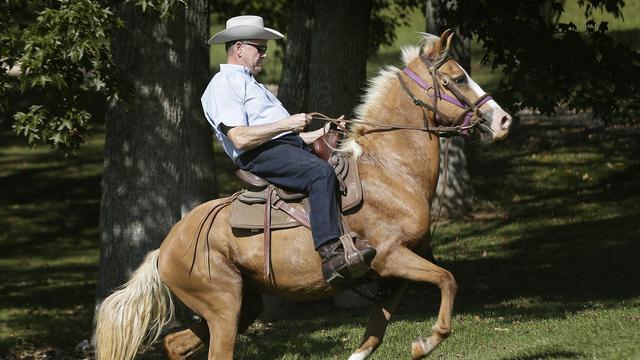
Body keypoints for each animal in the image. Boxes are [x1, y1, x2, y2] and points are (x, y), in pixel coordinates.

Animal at [96, 29, 516, 358]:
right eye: (457, 78)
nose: (503, 120)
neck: (391, 171)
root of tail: (164, 247)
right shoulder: (391, 257)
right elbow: (447, 280)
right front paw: (428, 341)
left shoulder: (395, 270)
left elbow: (375, 333)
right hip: (223, 308)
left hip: (243, 304)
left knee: (175, 344)